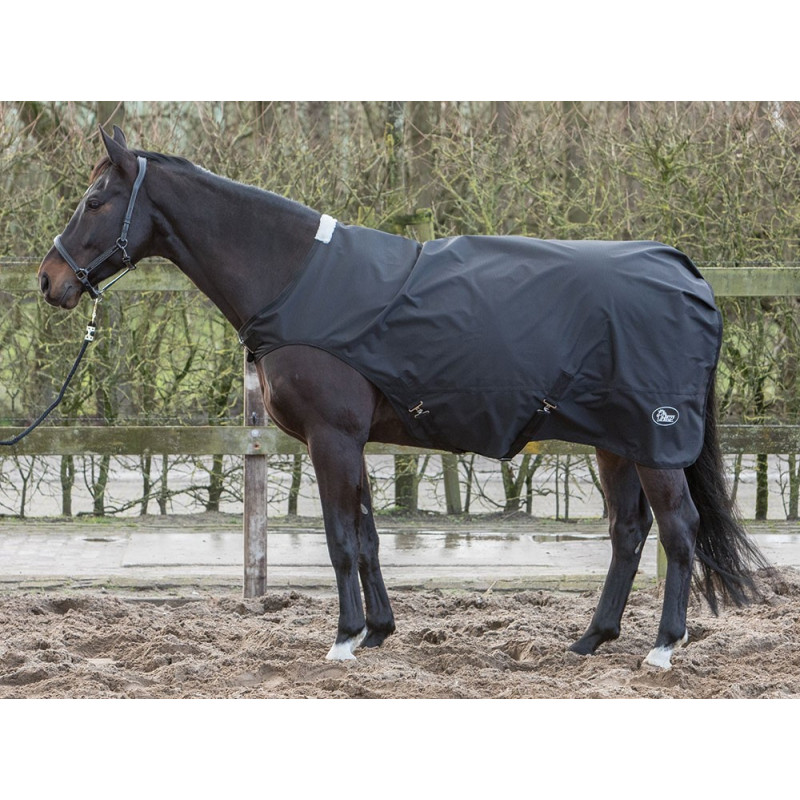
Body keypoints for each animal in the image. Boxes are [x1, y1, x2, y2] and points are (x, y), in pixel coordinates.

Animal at [37, 126, 768, 668]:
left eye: (95, 199)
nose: (50, 281)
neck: (294, 277)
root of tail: (687, 274)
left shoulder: (332, 438)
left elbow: (340, 537)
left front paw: (342, 640)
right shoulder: (350, 442)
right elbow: (366, 536)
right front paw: (377, 630)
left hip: (656, 441)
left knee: (679, 530)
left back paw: (663, 648)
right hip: (615, 442)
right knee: (628, 532)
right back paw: (591, 640)